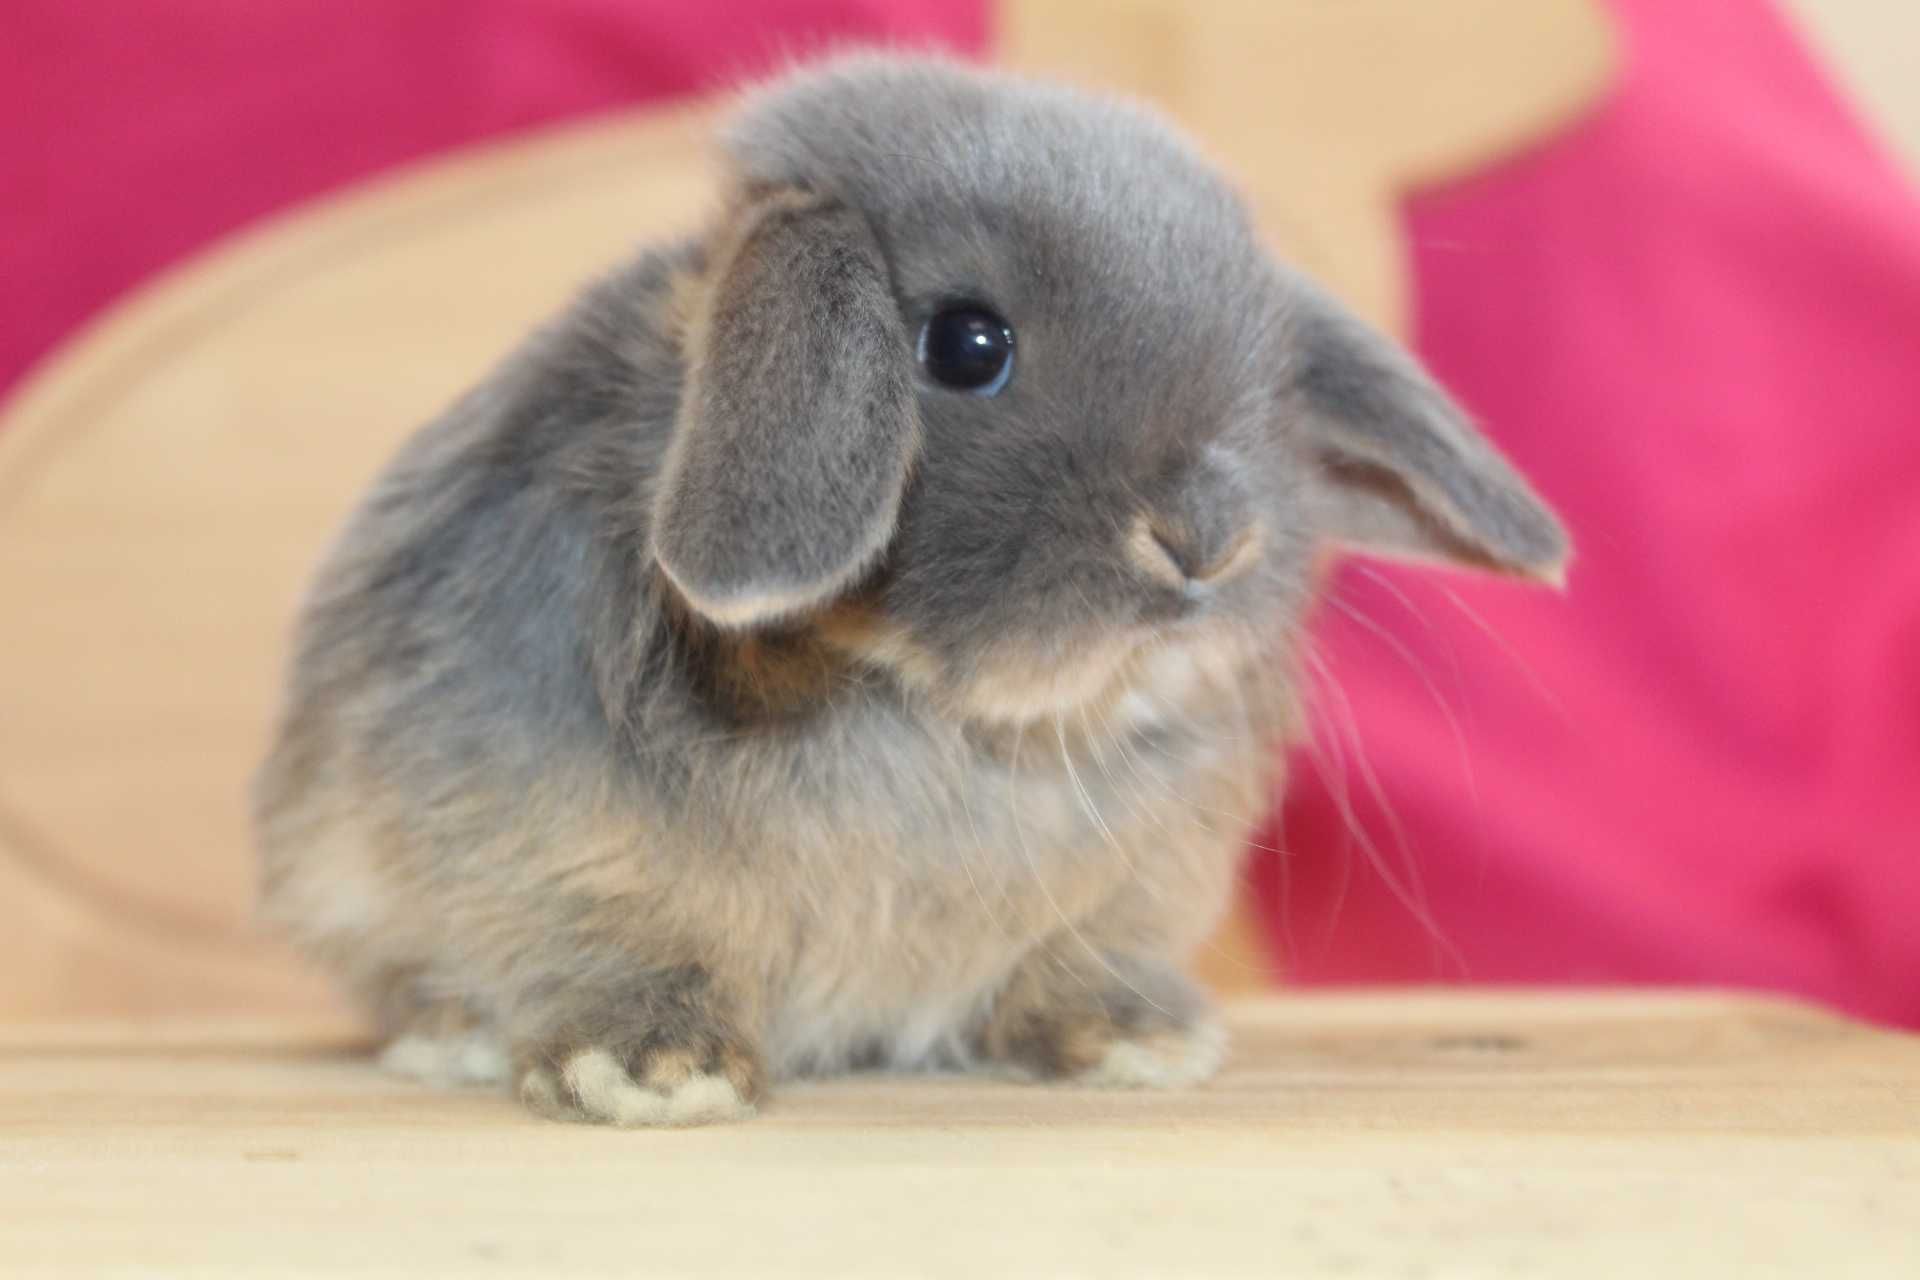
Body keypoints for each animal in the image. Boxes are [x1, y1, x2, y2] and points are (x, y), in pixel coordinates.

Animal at [251, 52, 1559, 1128]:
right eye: (967, 345)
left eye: (1276, 382)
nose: (1208, 538)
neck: (938, 709)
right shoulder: (552, 838)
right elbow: (616, 934)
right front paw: (650, 1069)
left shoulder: (1132, 889)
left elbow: (1082, 961)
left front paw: (1137, 1039)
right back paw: (453, 1037)